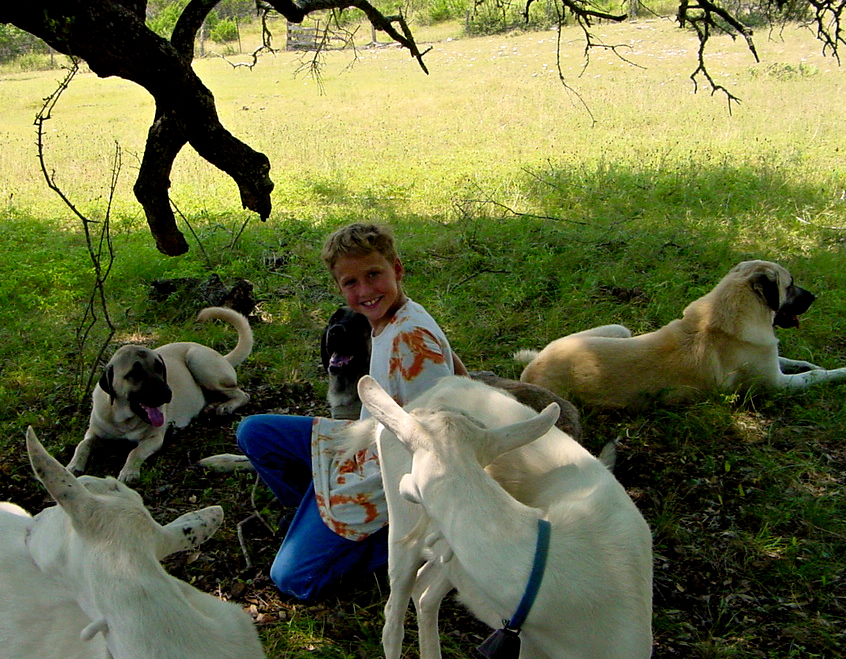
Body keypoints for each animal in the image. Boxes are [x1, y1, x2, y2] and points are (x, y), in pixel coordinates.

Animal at [68, 306, 255, 482]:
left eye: (159, 367)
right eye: (135, 373)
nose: (167, 393)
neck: (123, 419)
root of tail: (222, 356)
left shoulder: (153, 439)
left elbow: (135, 451)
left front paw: (129, 472)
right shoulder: (93, 433)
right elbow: (82, 444)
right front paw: (73, 465)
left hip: (198, 362)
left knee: (242, 394)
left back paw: (226, 406)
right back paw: (212, 406)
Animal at [512, 260, 846, 410]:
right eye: (790, 285)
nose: (815, 297)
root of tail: (532, 367)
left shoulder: (774, 362)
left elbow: (795, 361)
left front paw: (811, 362)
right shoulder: (777, 385)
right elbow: (817, 376)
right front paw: (839, 371)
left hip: (619, 330)